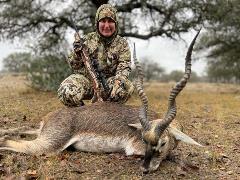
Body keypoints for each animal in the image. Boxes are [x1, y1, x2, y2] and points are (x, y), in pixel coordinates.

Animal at [0, 29, 202, 173]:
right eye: (144, 140)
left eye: (162, 143)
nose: (145, 169)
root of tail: (50, 117)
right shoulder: (133, 148)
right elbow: (167, 156)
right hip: (49, 144)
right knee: (8, 141)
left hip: (40, 134)